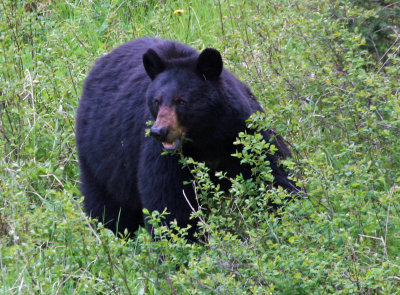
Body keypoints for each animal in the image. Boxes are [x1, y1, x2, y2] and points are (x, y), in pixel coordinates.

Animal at [76, 37, 300, 240]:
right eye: (156, 101)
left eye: (181, 101)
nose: (158, 131)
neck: (206, 136)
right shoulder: (166, 157)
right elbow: (170, 204)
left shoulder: (242, 131)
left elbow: (272, 171)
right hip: (101, 158)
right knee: (109, 209)